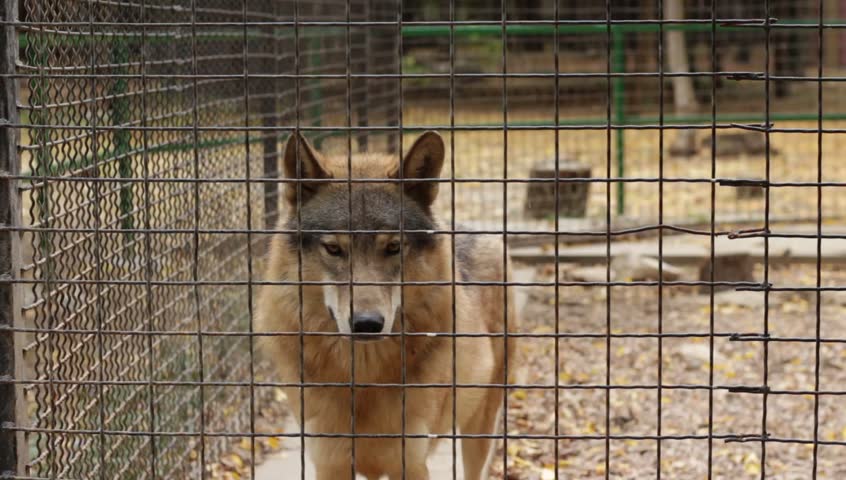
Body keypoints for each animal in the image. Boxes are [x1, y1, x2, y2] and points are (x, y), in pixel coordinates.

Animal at [255, 131, 520, 480]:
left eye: (393, 247)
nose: (367, 324)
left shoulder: (411, 462)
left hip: (479, 431)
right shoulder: (330, 463)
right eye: (334, 249)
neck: (364, 377)